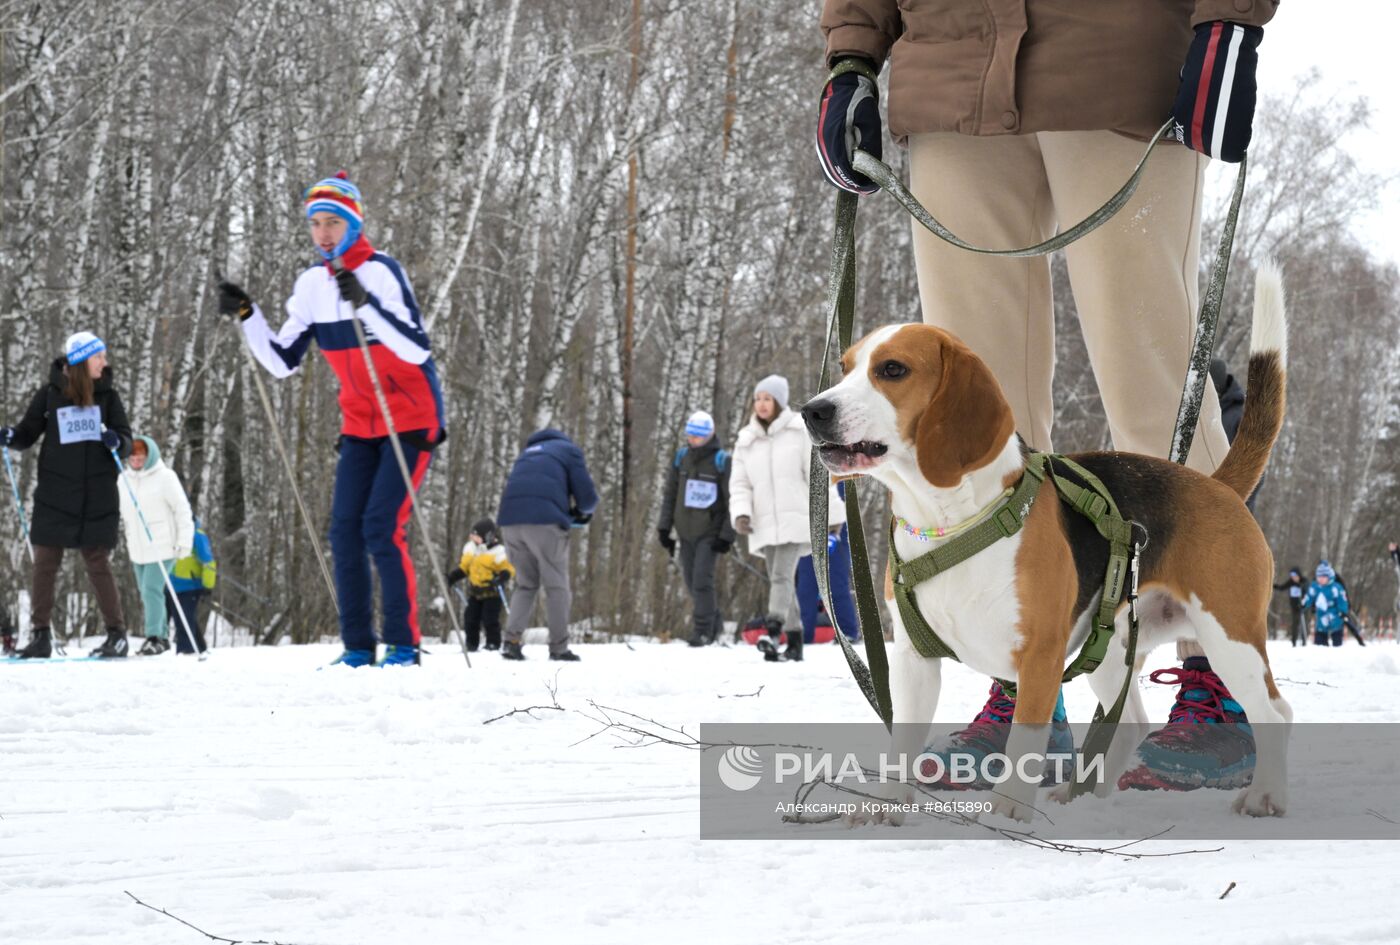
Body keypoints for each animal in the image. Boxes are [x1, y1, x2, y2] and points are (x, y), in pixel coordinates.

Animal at [800, 264, 1288, 823]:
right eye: (844, 367)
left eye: (893, 369)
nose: (812, 411)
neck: (954, 519)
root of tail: (1215, 483)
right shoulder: (913, 660)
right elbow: (902, 745)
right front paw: (887, 806)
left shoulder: (1038, 655)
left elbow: (1025, 741)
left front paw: (1008, 811)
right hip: (1112, 651)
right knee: (1130, 723)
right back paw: (1082, 796)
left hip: (1229, 637)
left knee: (1276, 712)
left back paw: (1265, 795)